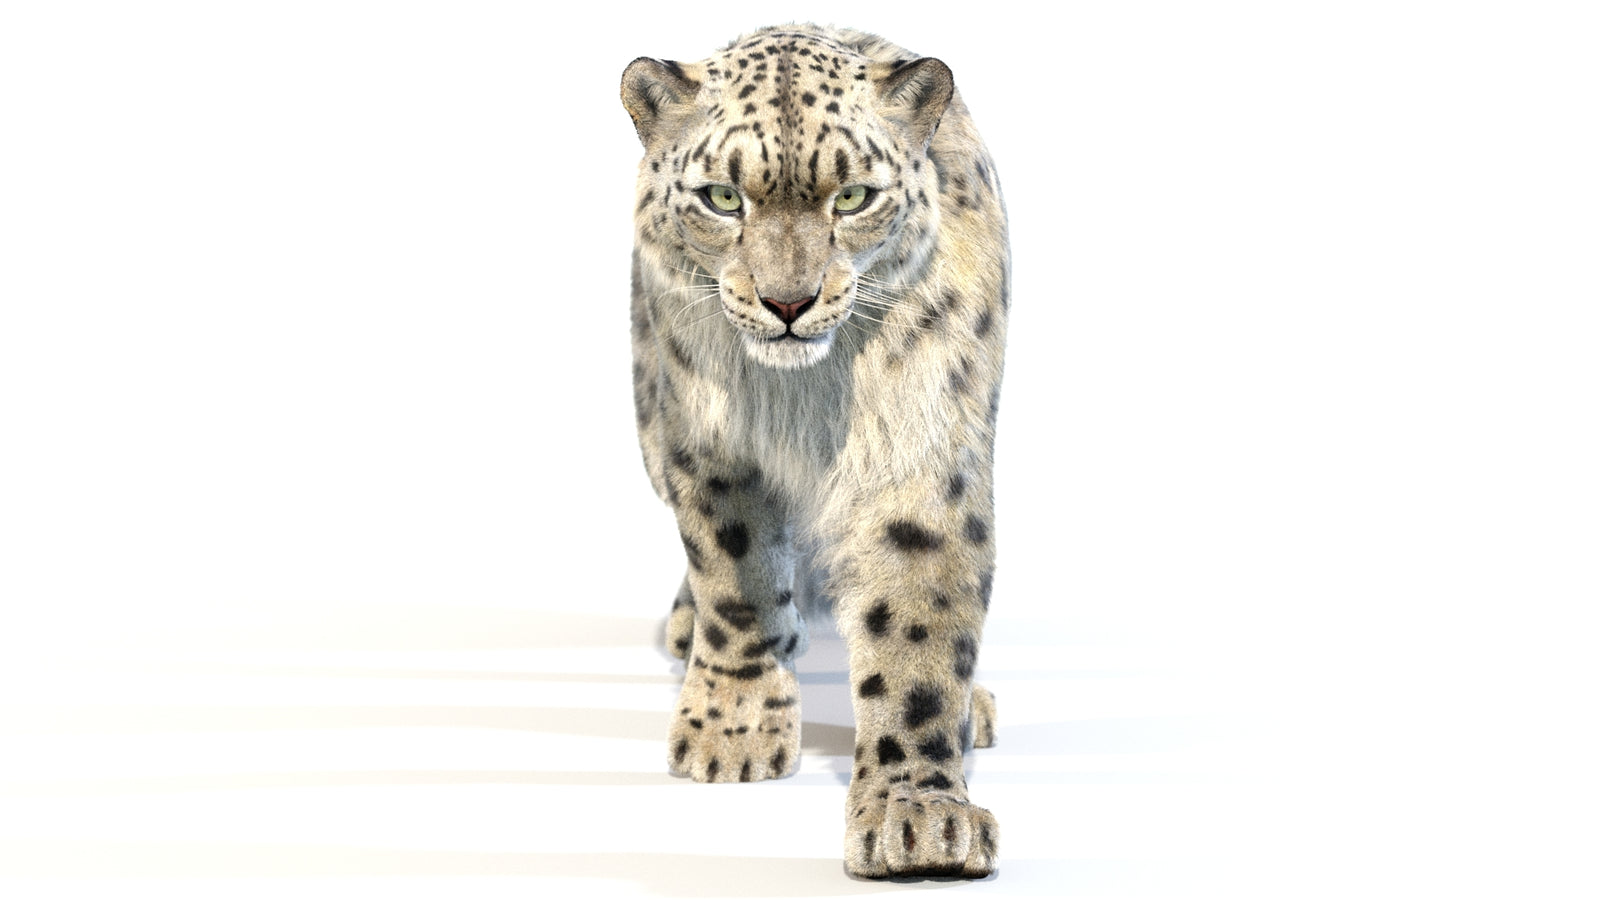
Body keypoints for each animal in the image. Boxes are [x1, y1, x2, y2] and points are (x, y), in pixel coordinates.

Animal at [621, 23, 1009, 878]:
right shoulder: (706, 445)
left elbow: (917, 630)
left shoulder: (919, 453)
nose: (788, 303)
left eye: (853, 196)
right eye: (722, 197)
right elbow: (737, 583)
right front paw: (732, 729)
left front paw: (919, 818)